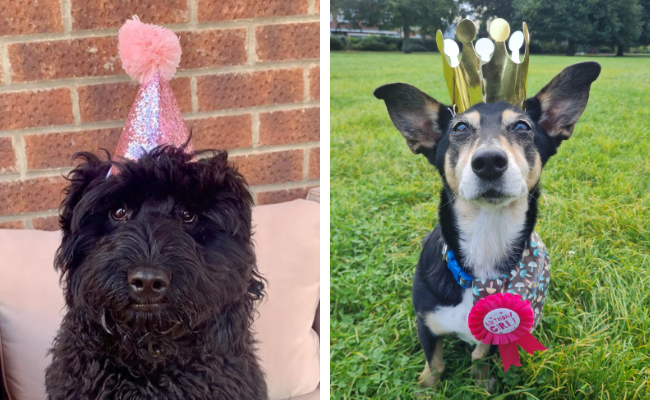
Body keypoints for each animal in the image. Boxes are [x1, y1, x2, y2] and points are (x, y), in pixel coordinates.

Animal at [372, 61, 600, 388]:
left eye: (522, 127)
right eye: (460, 128)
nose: (489, 161)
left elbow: (480, 355)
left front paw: (482, 382)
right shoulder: (424, 322)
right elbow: (435, 362)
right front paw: (426, 385)